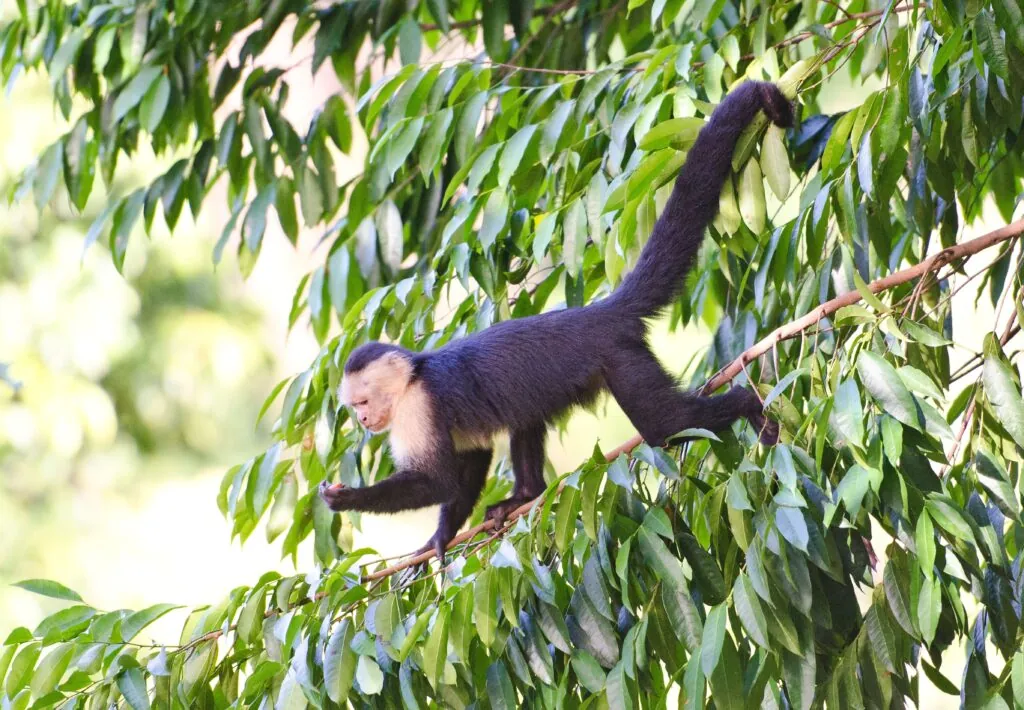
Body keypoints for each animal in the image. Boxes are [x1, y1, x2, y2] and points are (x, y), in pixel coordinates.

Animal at [319, 80, 794, 562]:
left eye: (361, 402)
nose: (363, 421)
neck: (413, 376)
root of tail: (601, 312)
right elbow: (471, 459)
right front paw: (440, 537)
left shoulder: (418, 406)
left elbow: (439, 480)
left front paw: (349, 498)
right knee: (525, 416)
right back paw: (527, 494)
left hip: (622, 359)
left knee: (666, 426)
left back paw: (748, 404)